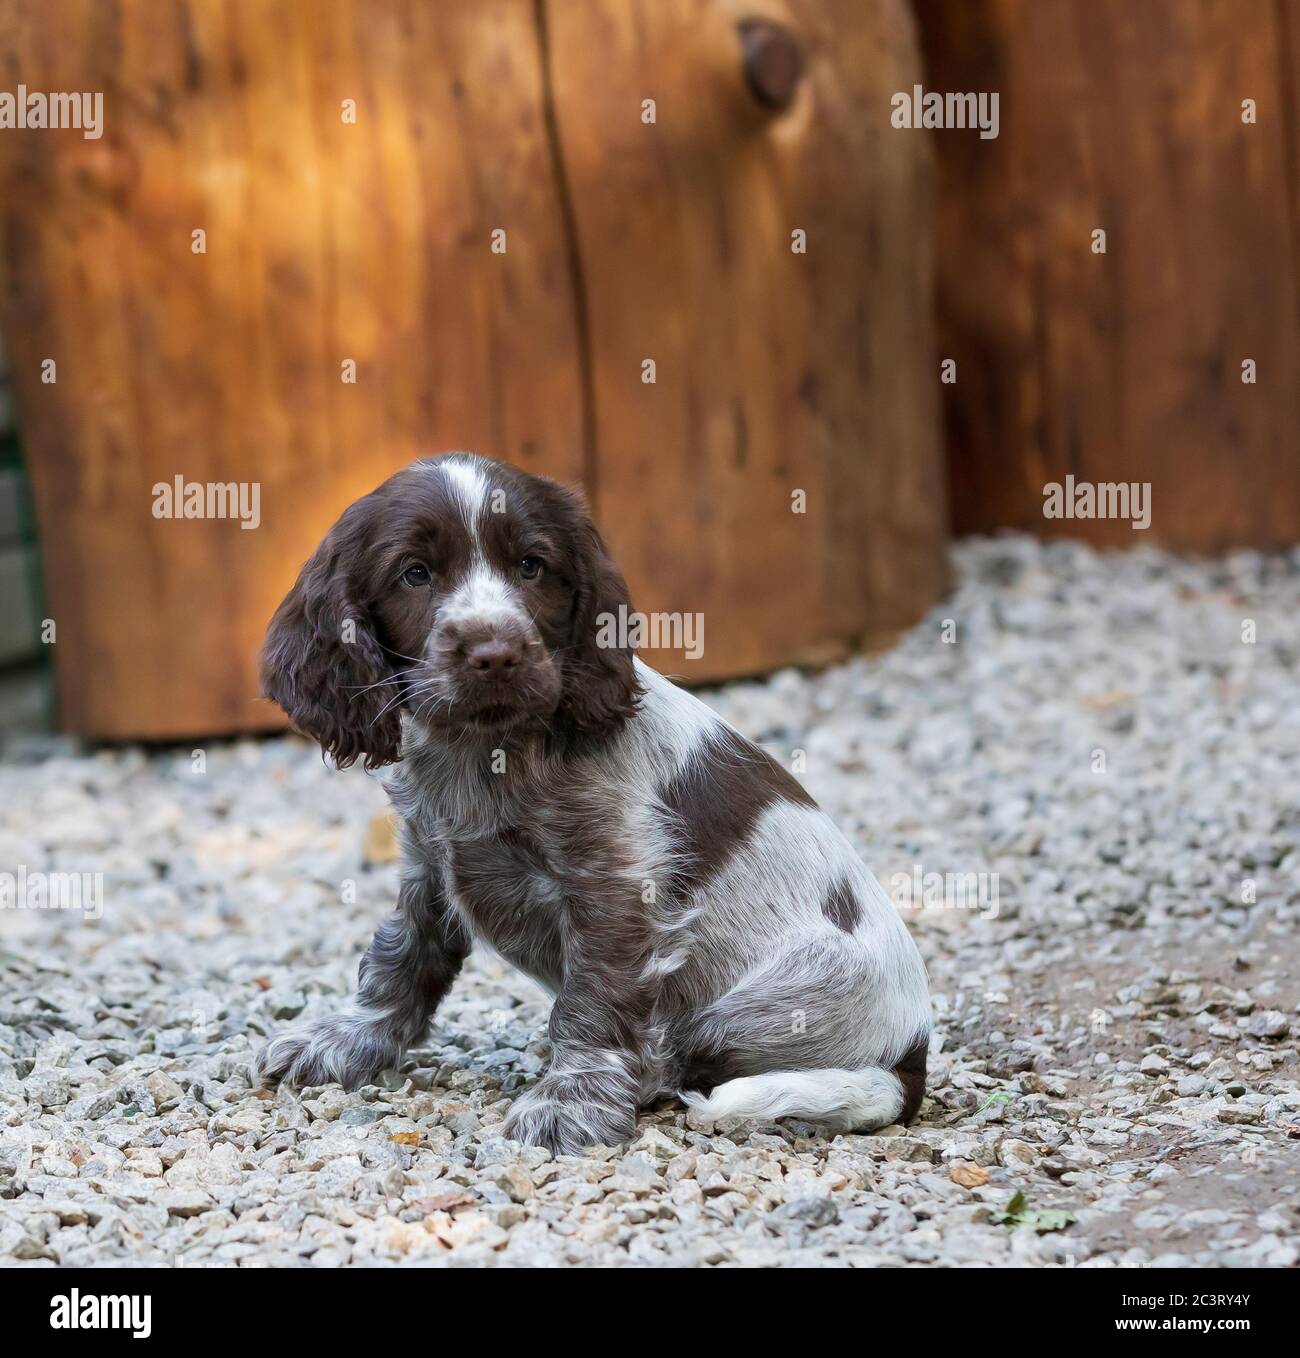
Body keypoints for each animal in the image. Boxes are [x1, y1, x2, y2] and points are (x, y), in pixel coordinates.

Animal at [254, 450, 929, 1151]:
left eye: (532, 565)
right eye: (414, 573)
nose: (496, 654)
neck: (487, 752)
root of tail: (910, 1058)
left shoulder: (616, 887)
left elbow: (593, 1004)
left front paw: (570, 1102)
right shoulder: (430, 862)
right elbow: (400, 955)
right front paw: (346, 1039)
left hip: (761, 1004)